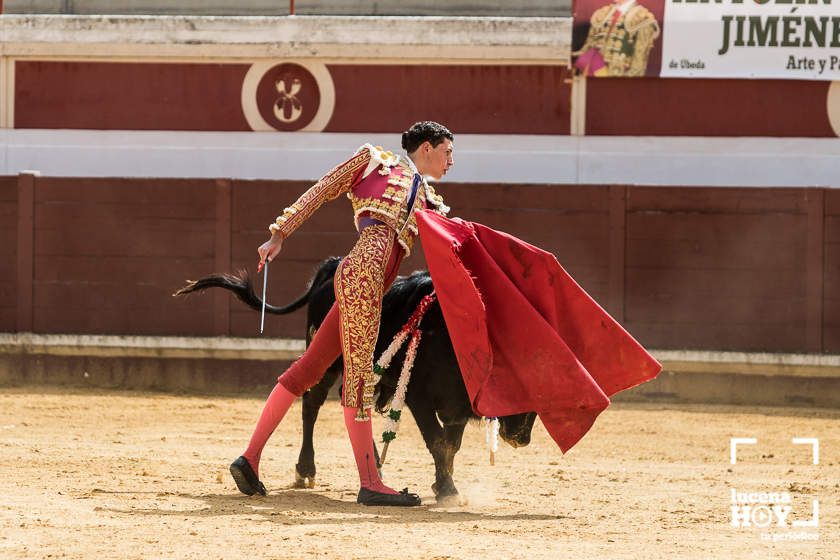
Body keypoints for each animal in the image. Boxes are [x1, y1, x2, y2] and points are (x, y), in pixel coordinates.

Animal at [176, 258, 540, 498]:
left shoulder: (457, 404)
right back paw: (305, 469)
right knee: (311, 402)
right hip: (325, 359)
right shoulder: (418, 397)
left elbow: (451, 444)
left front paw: (441, 483)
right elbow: (437, 440)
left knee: (347, 402)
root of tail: (331, 267)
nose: (522, 439)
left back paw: (374, 466)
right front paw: (448, 490)